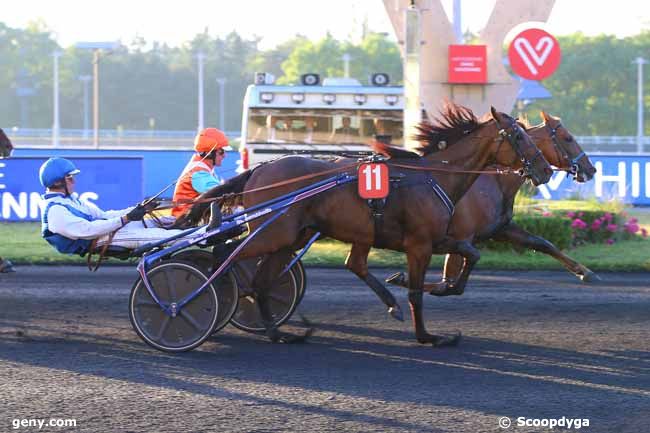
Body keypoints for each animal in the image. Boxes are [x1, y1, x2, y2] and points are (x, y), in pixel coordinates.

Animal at [182, 104, 552, 344]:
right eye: (519, 136)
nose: (546, 170)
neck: (434, 177)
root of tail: (259, 169)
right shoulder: (419, 244)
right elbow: (417, 292)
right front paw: (427, 335)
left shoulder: (437, 238)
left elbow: (471, 255)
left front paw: (435, 290)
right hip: (273, 232)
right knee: (226, 253)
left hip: (289, 237)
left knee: (260, 278)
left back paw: (276, 331)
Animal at [384, 111, 596, 296]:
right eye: (568, 138)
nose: (591, 169)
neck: (493, 182)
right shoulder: (461, 236)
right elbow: (446, 281)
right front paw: (402, 279)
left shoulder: (499, 229)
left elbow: (542, 243)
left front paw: (585, 272)